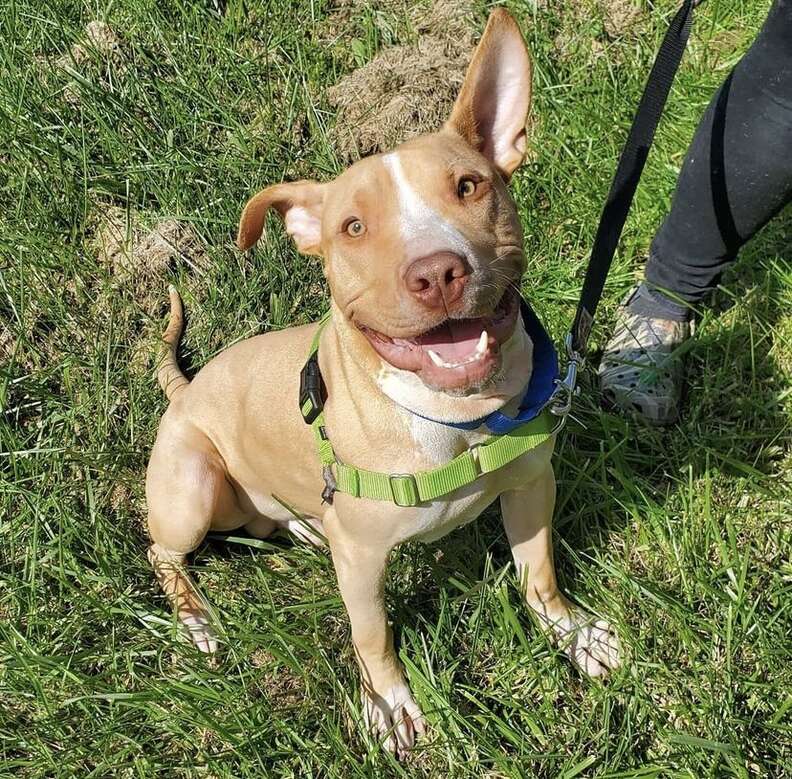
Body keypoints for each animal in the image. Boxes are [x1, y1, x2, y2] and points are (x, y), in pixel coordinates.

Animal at [147, 7, 620, 756]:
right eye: (352, 226)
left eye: (469, 186)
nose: (436, 272)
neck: (458, 420)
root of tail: (185, 390)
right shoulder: (365, 561)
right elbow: (373, 637)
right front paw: (392, 706)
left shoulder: (530, 486)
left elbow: (539, 572)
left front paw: (573, 634)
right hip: (192, 490)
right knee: (163, 552)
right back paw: (197, 619)